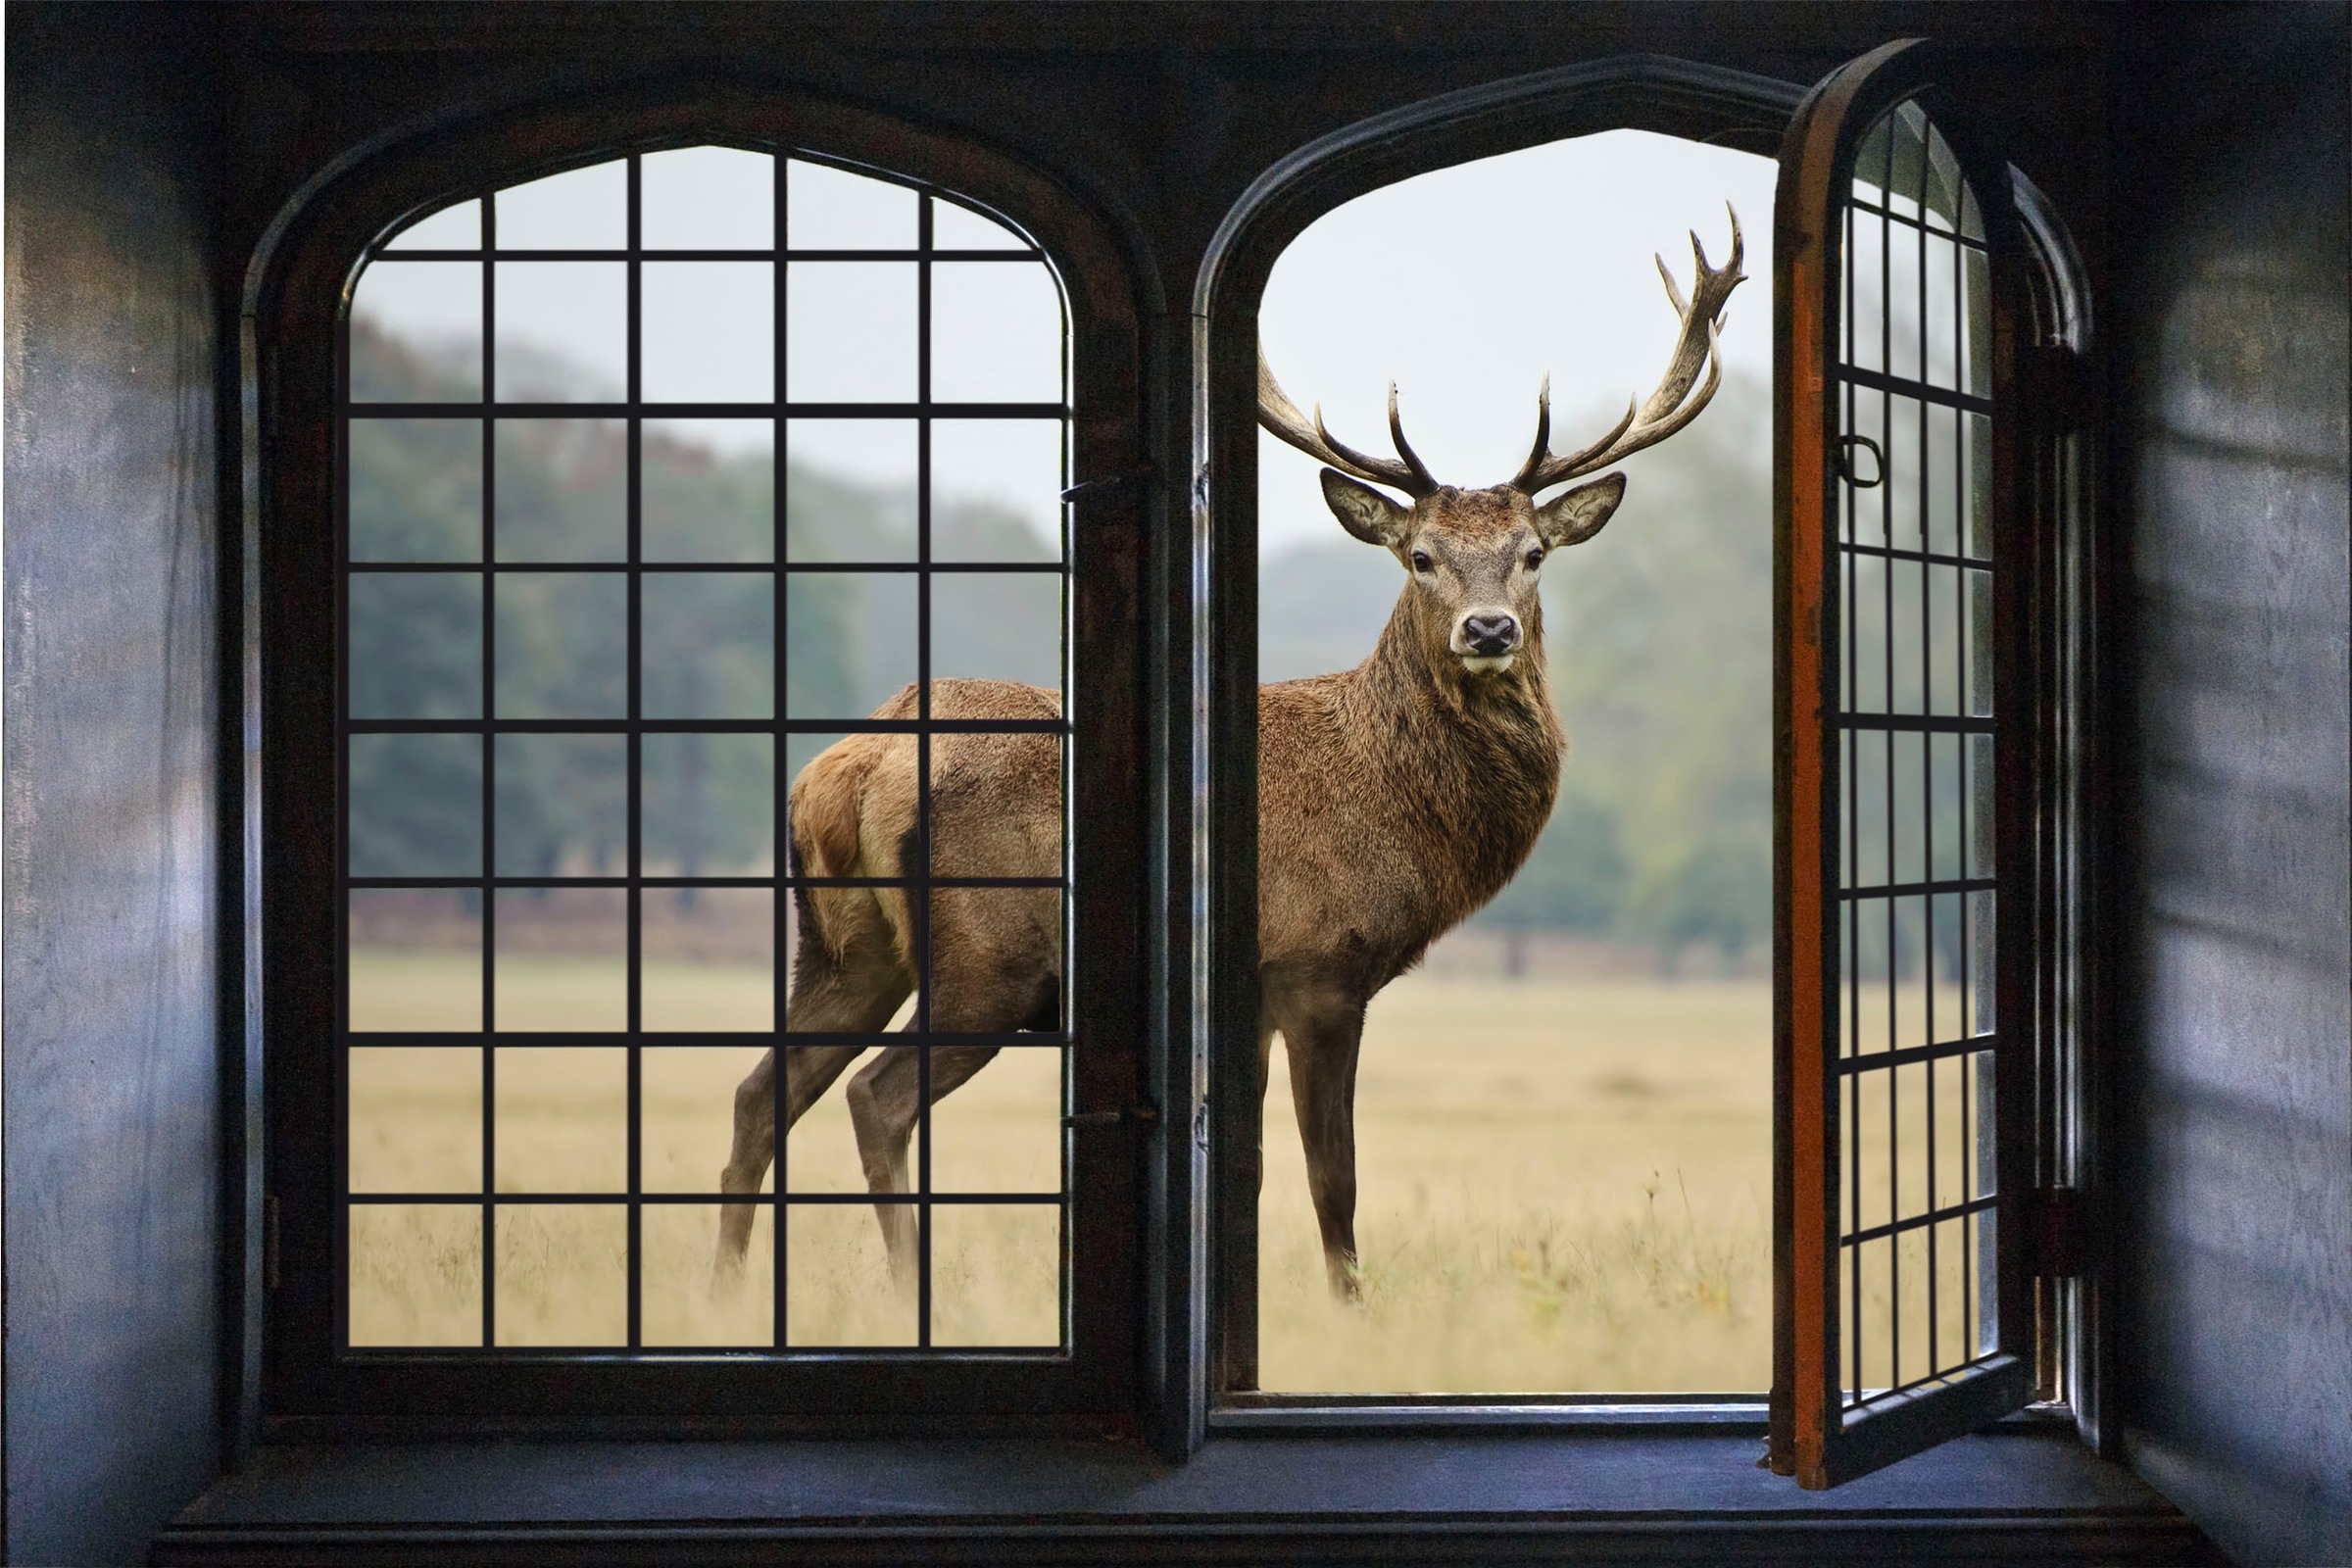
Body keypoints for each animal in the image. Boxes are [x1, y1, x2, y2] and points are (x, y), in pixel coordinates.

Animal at [713, 209, 1744, 1304]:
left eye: (1534, 552)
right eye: (1420, 556)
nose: (1490, 628)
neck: (1397, 811)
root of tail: (849, 767)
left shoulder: (1250, 999)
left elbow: (1246, 1166)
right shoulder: (1316, 965)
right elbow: (1332, 1174)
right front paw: (1348, 1306)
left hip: (843, 946)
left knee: (759, 1092)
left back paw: (723, 1291)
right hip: (987, 959)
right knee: (877, 1097)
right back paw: (913, 1289)